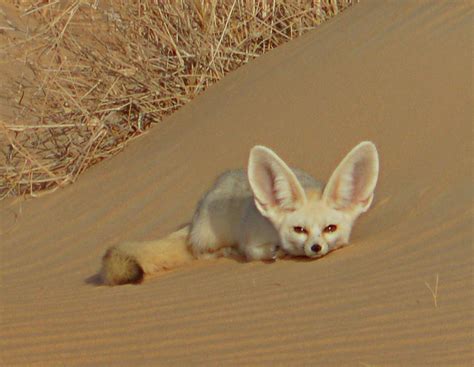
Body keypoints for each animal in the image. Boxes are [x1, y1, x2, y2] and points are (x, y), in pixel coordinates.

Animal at [102, 142, 380, 286]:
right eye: (299, 230)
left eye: (329, 228)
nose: (315, 247)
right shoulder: (251, 240)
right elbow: (255, 253)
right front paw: (275, 253)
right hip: (210, 235)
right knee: (199, 252)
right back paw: (225, 251)